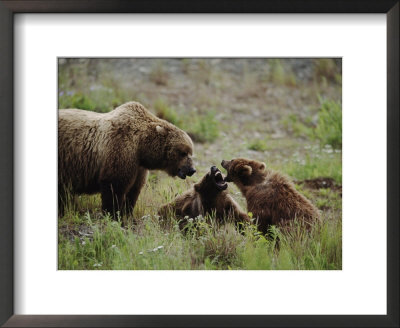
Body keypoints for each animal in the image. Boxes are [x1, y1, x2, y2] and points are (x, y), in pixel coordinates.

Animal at [58, 101, 196, 217]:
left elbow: (134, 190)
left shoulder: (139, 166)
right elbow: (114, 186)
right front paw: (113, 214)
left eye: (190, 152)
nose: (192, 170)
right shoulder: (120, 149)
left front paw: (127, 213)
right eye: (183, 153)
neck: (142, 147)